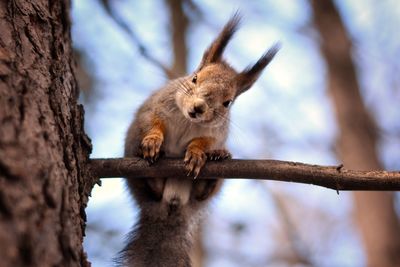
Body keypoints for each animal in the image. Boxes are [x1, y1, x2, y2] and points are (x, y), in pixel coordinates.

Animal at [120, 14, 280, 267]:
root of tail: (172, 204)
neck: (188, 121)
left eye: (228, 102)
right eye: (194, 78)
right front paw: (153, 141)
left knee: (203, 192)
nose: (198, 108)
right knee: (151, 188)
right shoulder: (154, 107)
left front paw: (198, 154)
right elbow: (153, 124)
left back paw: (217, 161)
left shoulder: (216, 134)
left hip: (206, 192)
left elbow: (204, 142)